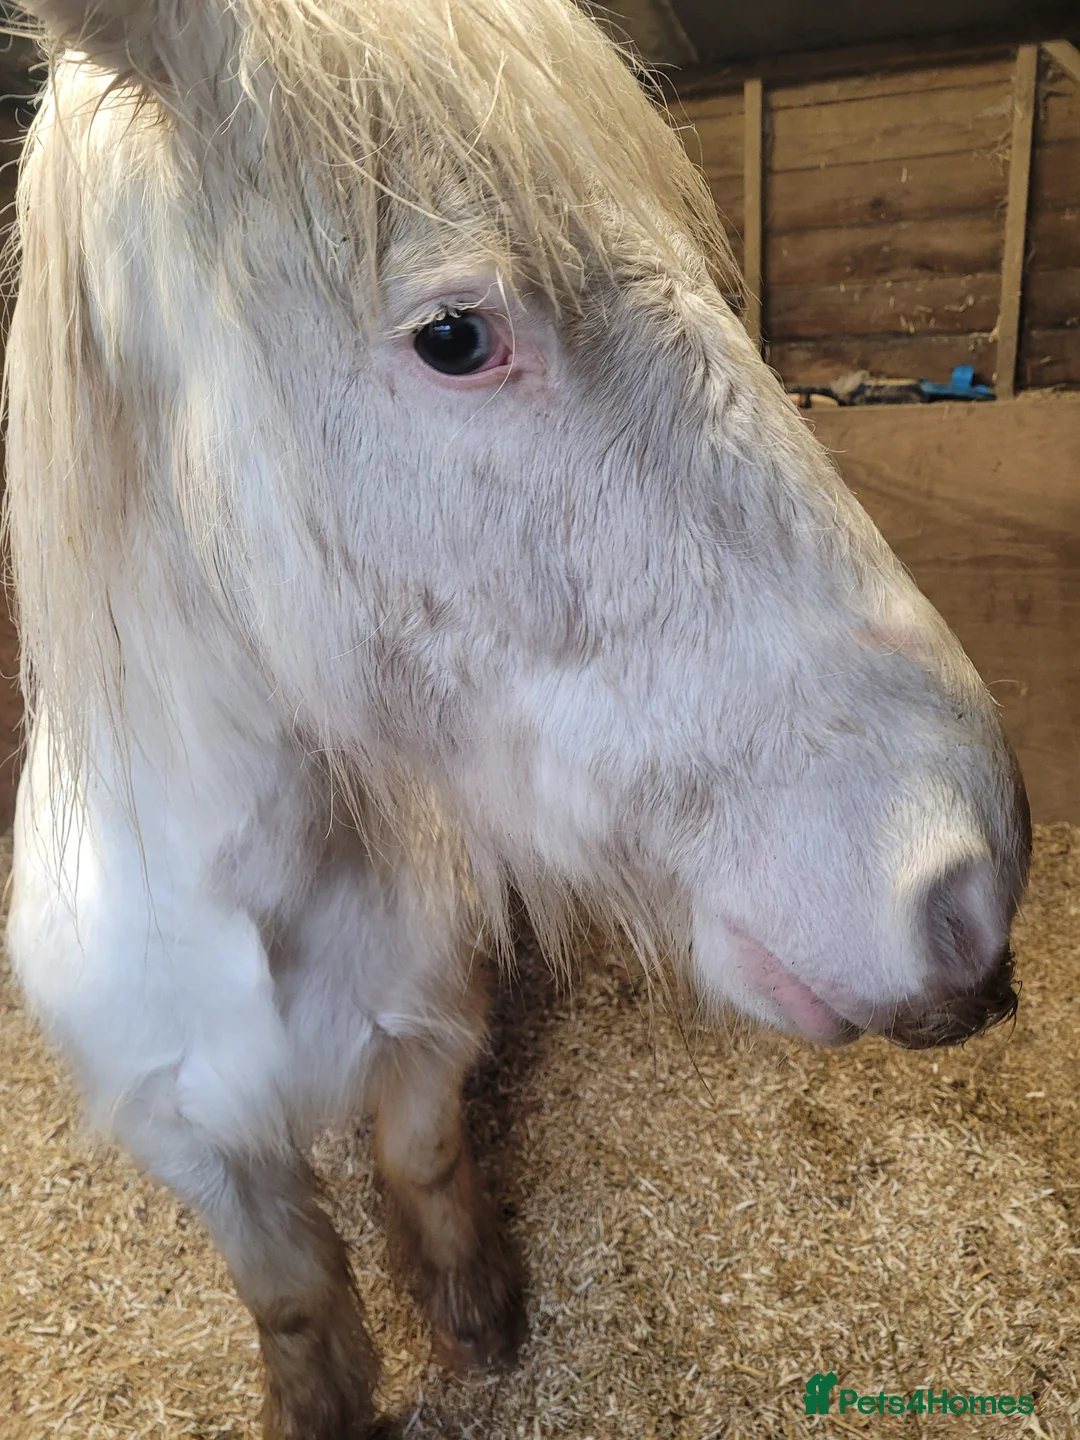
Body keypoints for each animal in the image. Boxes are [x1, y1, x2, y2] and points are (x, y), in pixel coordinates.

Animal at [4, 0, 1029, 1434]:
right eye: (454, 336)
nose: (966, 880)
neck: (259, 895)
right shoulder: (190, 1139)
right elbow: (289, 1291)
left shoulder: (431, 1030)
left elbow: (426, 1160)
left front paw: (478, 1317)